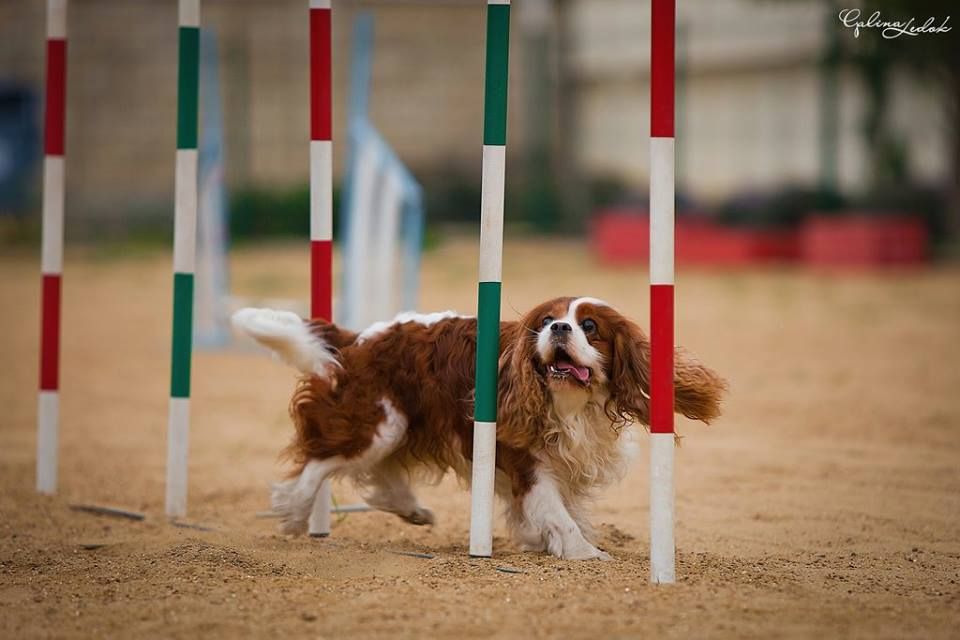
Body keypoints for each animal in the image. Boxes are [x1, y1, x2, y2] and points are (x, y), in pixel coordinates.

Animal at [234, 298, 728, 556]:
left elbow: (560, 511)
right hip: (378, 421)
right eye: (547, 321)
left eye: (589, 325)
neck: (572, 404)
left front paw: (548, 540)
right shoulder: (531, 465)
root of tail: (362, 338)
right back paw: (294, 513)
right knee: (320, 461)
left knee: (381, 471)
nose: (560, 328)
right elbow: (557, 513)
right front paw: (585, 553)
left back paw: (411, 509)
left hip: (398, 425)